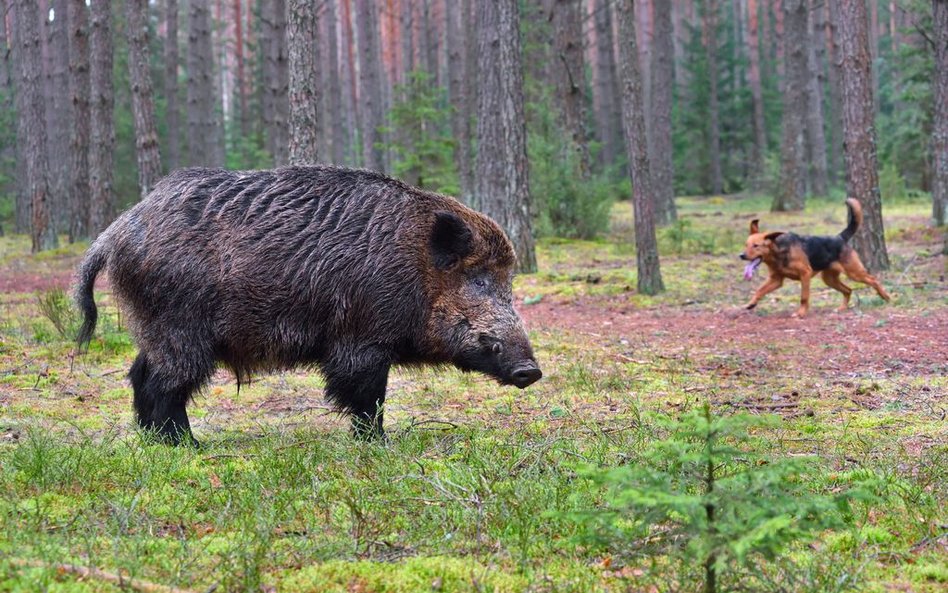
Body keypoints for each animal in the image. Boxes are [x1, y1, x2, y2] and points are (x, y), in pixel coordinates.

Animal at [740, 198, 888, 320]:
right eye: (746, 245)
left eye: (756, 246)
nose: (741, 255)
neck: (778, 253)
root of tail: (840, 237)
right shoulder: (776, 280)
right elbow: (759, 290)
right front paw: (751, 303)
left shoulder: (805, 274)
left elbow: (804, 297)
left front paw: (801, 313)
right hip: (829, 279)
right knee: (848, 290)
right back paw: (842, 308)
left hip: (854, 273)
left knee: (873, 280)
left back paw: (885, 297)